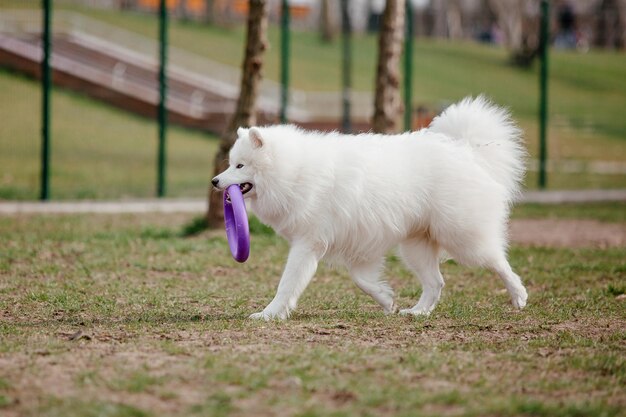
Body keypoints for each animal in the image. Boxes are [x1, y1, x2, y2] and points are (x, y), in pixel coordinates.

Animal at [211, 96, 528, 318]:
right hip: (415, 247)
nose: (215, 181)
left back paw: (519, 295)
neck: (294, 171)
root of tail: (466, 151)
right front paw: (387, 299)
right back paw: (418, 312)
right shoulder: (357, 245)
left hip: (461, 237)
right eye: (230, 164)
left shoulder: (308, 243)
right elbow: (362, 280)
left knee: (497, 260)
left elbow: (287, 284)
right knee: (436, 282)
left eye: (240, 166)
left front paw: (268, 314)